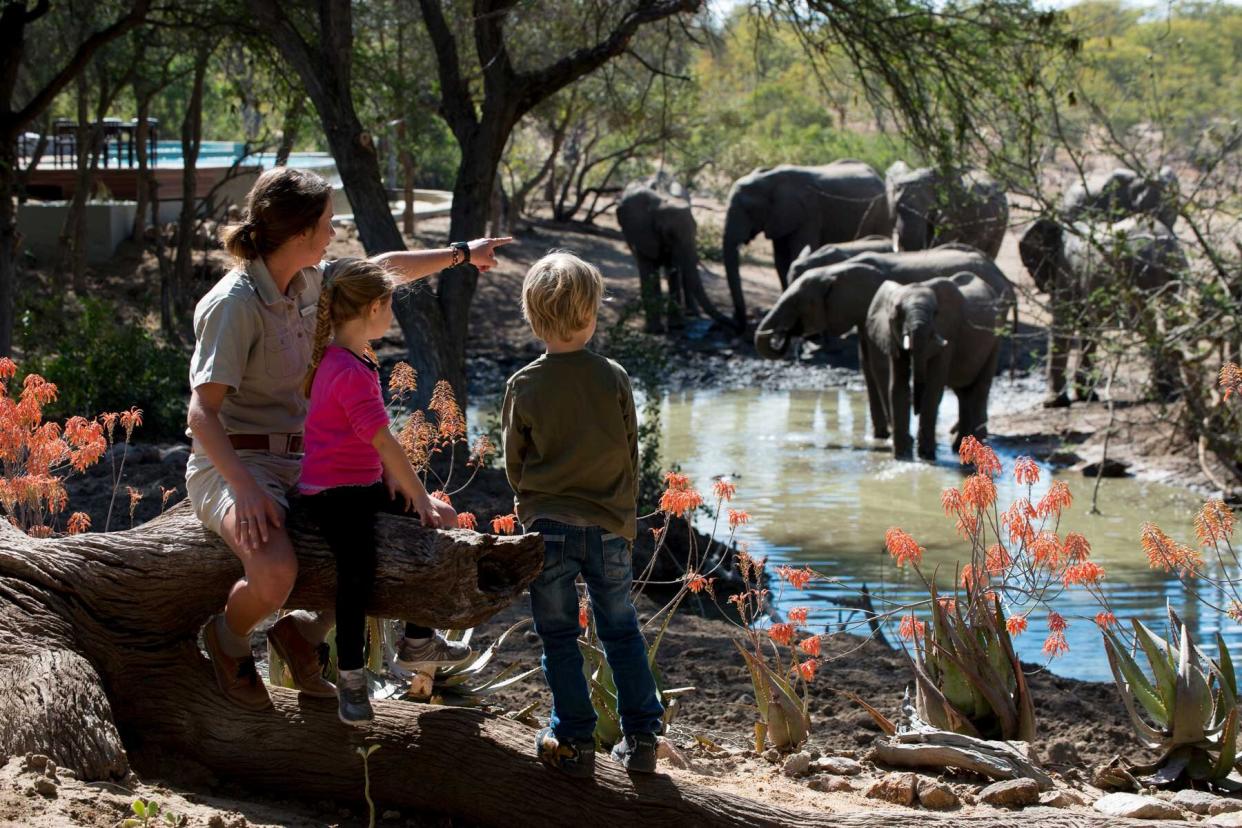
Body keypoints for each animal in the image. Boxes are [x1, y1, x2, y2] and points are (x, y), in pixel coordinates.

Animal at [613, 177, 725, 332]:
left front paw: (676, 326)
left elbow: (673, 269)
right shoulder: (639, 232)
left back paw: (691, 313)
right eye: (669, 233)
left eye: (696, 227)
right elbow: (647, 269)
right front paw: (655, 330)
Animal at [720, 160, 894, 327]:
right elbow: (781, 260)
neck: (769, 178)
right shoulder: (781, 217)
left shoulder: (808, 213)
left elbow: (796, 252)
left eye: (749, 210)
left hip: (882, 211)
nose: (738, 319)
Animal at [750, 243, 1013, 444]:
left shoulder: (869, 302)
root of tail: (1001, 275)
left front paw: (888, 434)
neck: (835, 270)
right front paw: (879, 436)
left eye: (798, 302)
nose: (781, 336)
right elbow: (866, 364)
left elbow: (878, 365)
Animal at [869, 275, 1003, 464]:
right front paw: (902, 457)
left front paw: (926, 456)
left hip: (995, 340)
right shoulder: (891, 337)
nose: (915, 409)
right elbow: (897, 387)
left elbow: (933, 388)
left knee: (980, 389)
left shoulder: (948, 332)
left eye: (935, 313)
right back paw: (959, 448)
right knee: (963, 394)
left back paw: (974, 454)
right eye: (897, 313)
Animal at [1023, 213, 1187, 407]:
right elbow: (1087, 327)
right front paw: (1085, 397)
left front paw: (1053, 404)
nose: (1039, 285)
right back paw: (1171, 394)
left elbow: (1064, 324)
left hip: (1137, 278)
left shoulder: (1066, 270)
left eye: (1030, 264)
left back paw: (1162, 394)